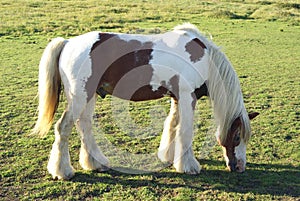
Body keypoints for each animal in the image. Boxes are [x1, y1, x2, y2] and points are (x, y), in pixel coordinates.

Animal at [32, 22, 258, 180]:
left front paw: (169, 156)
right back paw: (63, 171)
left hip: (89, 96)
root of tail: (68, 43)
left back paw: (96, 163)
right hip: (80, 97)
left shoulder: (177, 98)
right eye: (237, 137)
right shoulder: (187, 96)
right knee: (63, 127)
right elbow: (185, 131)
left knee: (84, 125)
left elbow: (172, 125)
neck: (205, 59)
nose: (239, 167)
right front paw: (189, 166)